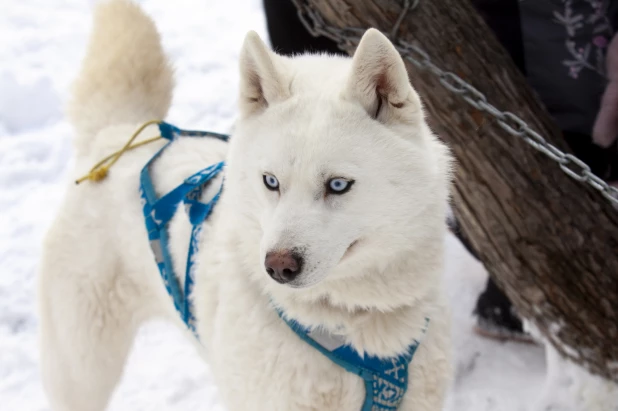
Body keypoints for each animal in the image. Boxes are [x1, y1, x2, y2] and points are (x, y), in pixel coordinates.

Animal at [38, 1, 452, 410]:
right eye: (271, 181)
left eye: (337, 185)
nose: (278, 266)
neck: (347, 325)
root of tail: (116, 136)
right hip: (84, 370)